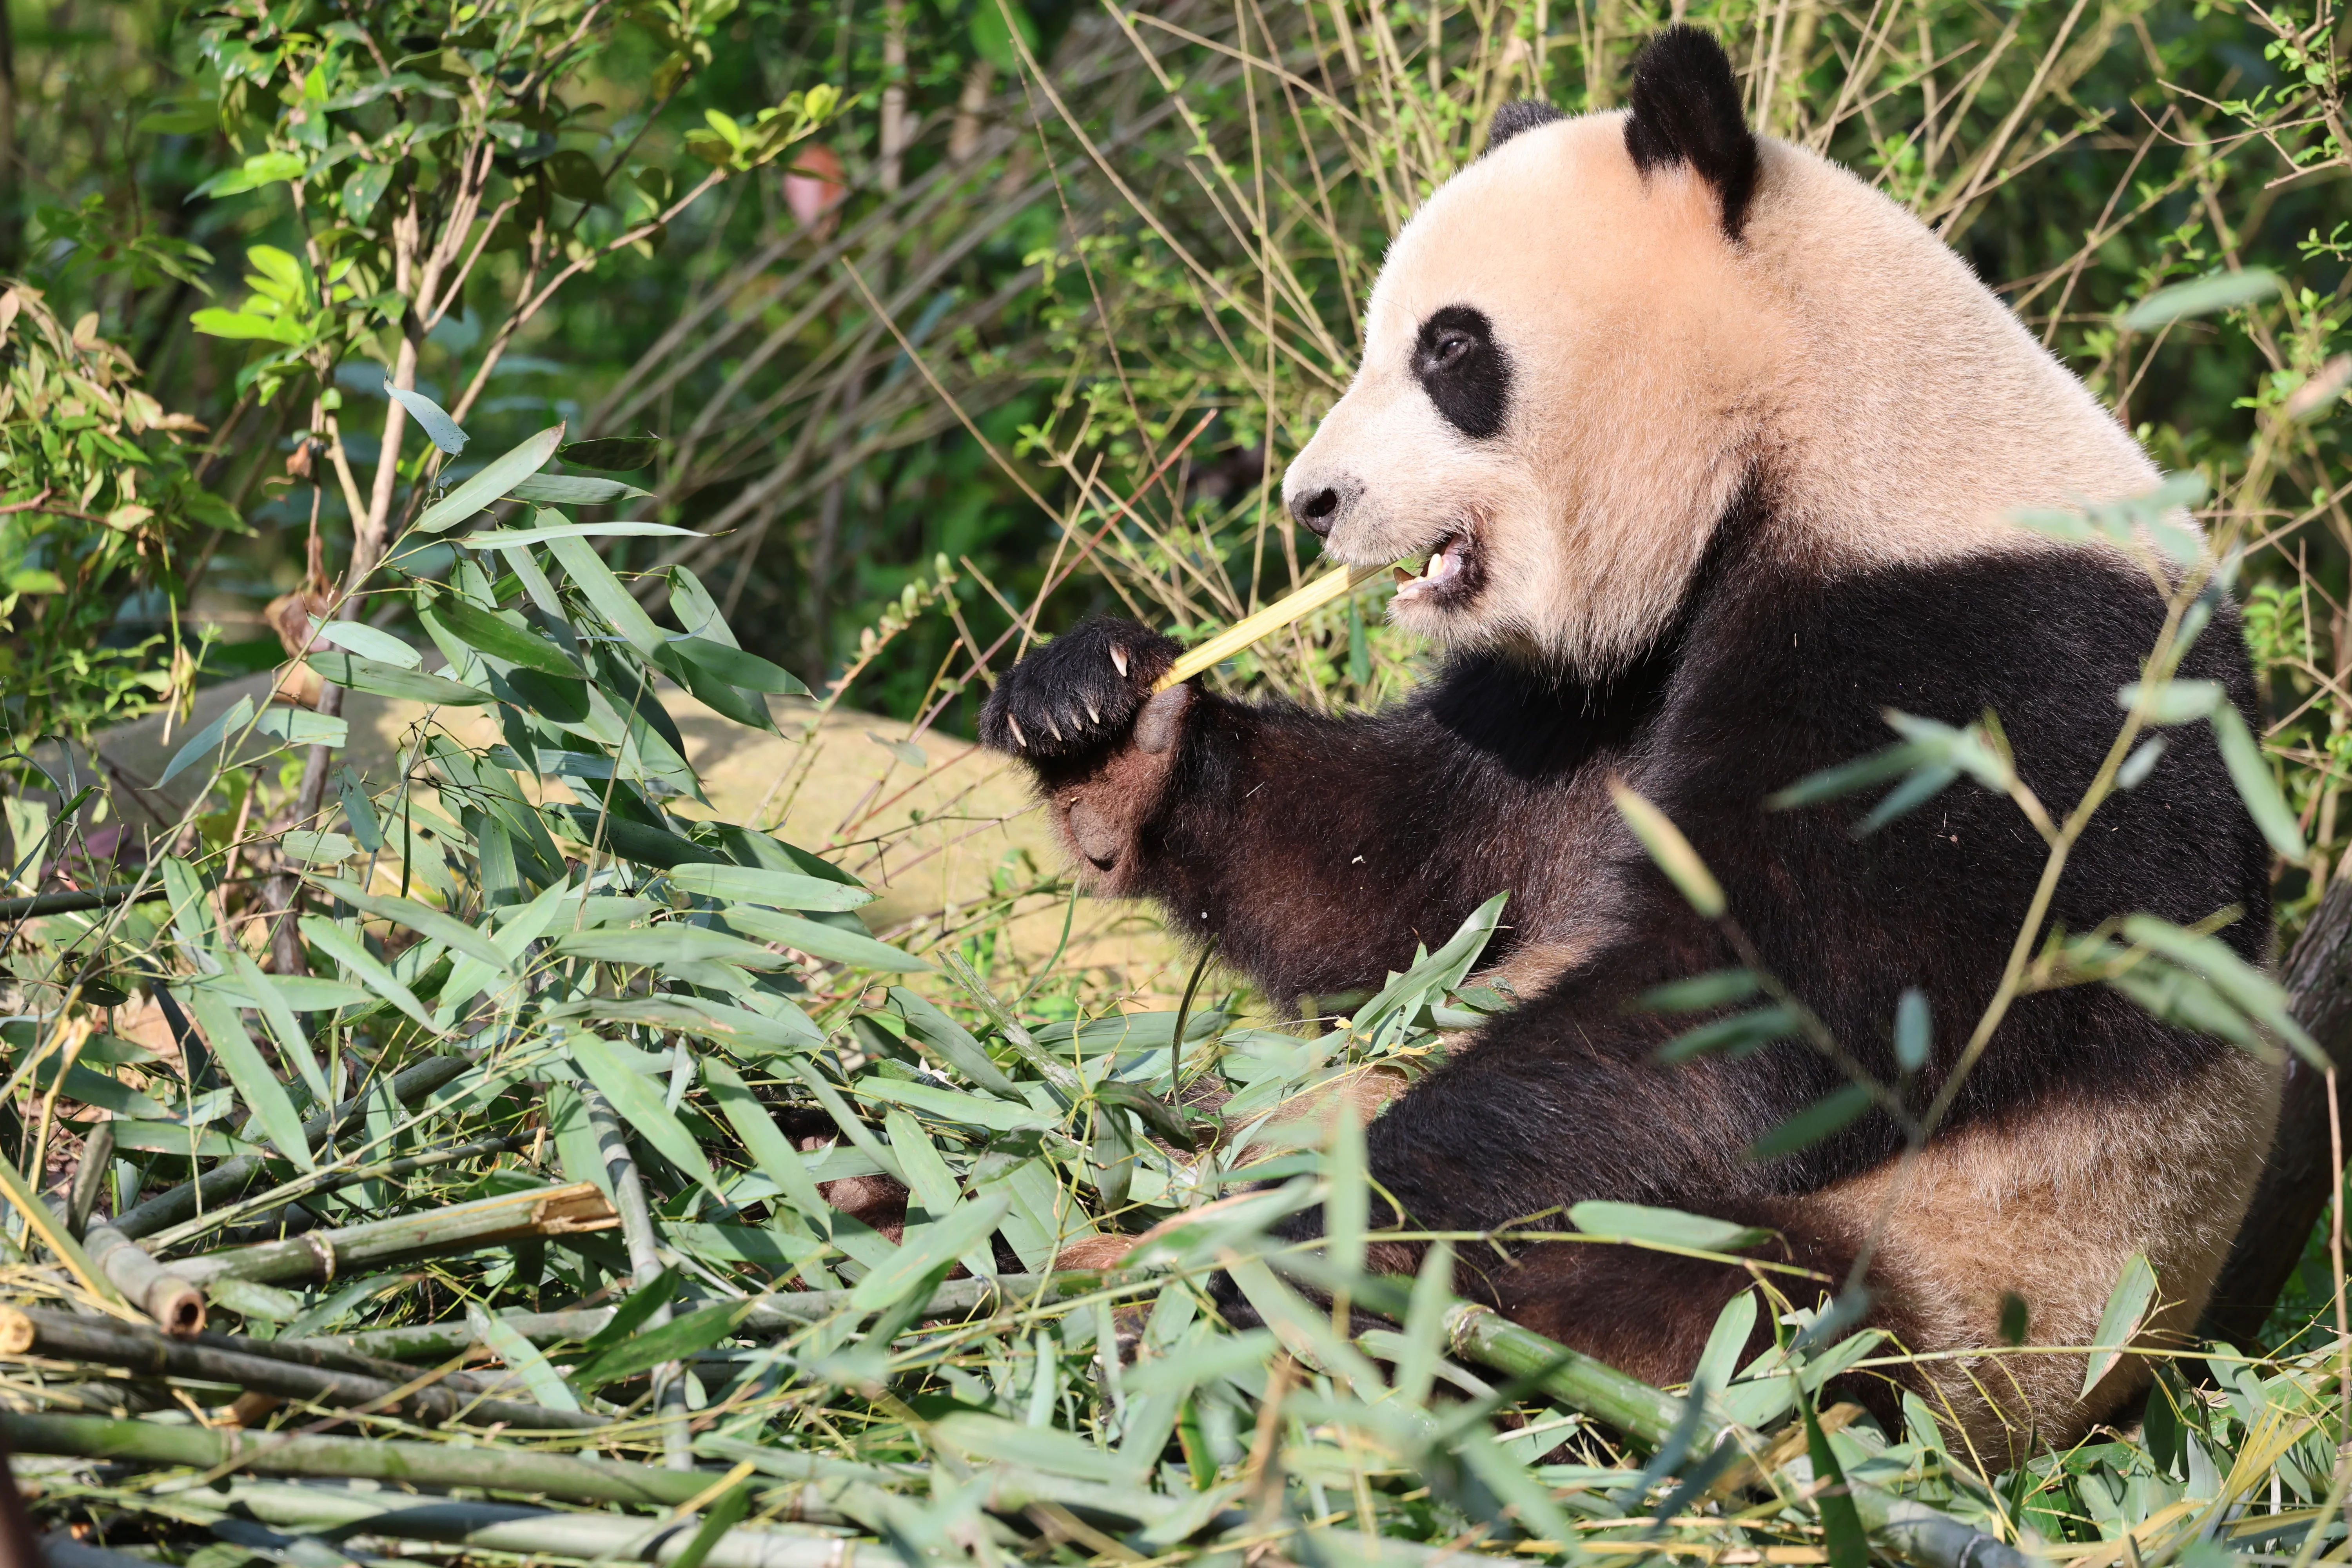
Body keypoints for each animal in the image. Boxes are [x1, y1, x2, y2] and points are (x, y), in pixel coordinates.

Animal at [978, 26, 2279, 1457]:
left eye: (1451, 348)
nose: (1315, 503)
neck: (1827, 436)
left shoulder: (1982, 683)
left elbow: (1759, 1018)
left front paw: (1330, 1227)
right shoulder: (1592, 693)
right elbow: (1404, 884)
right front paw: (1099, 712)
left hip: (1975, 1297)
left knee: (1697, 1294)